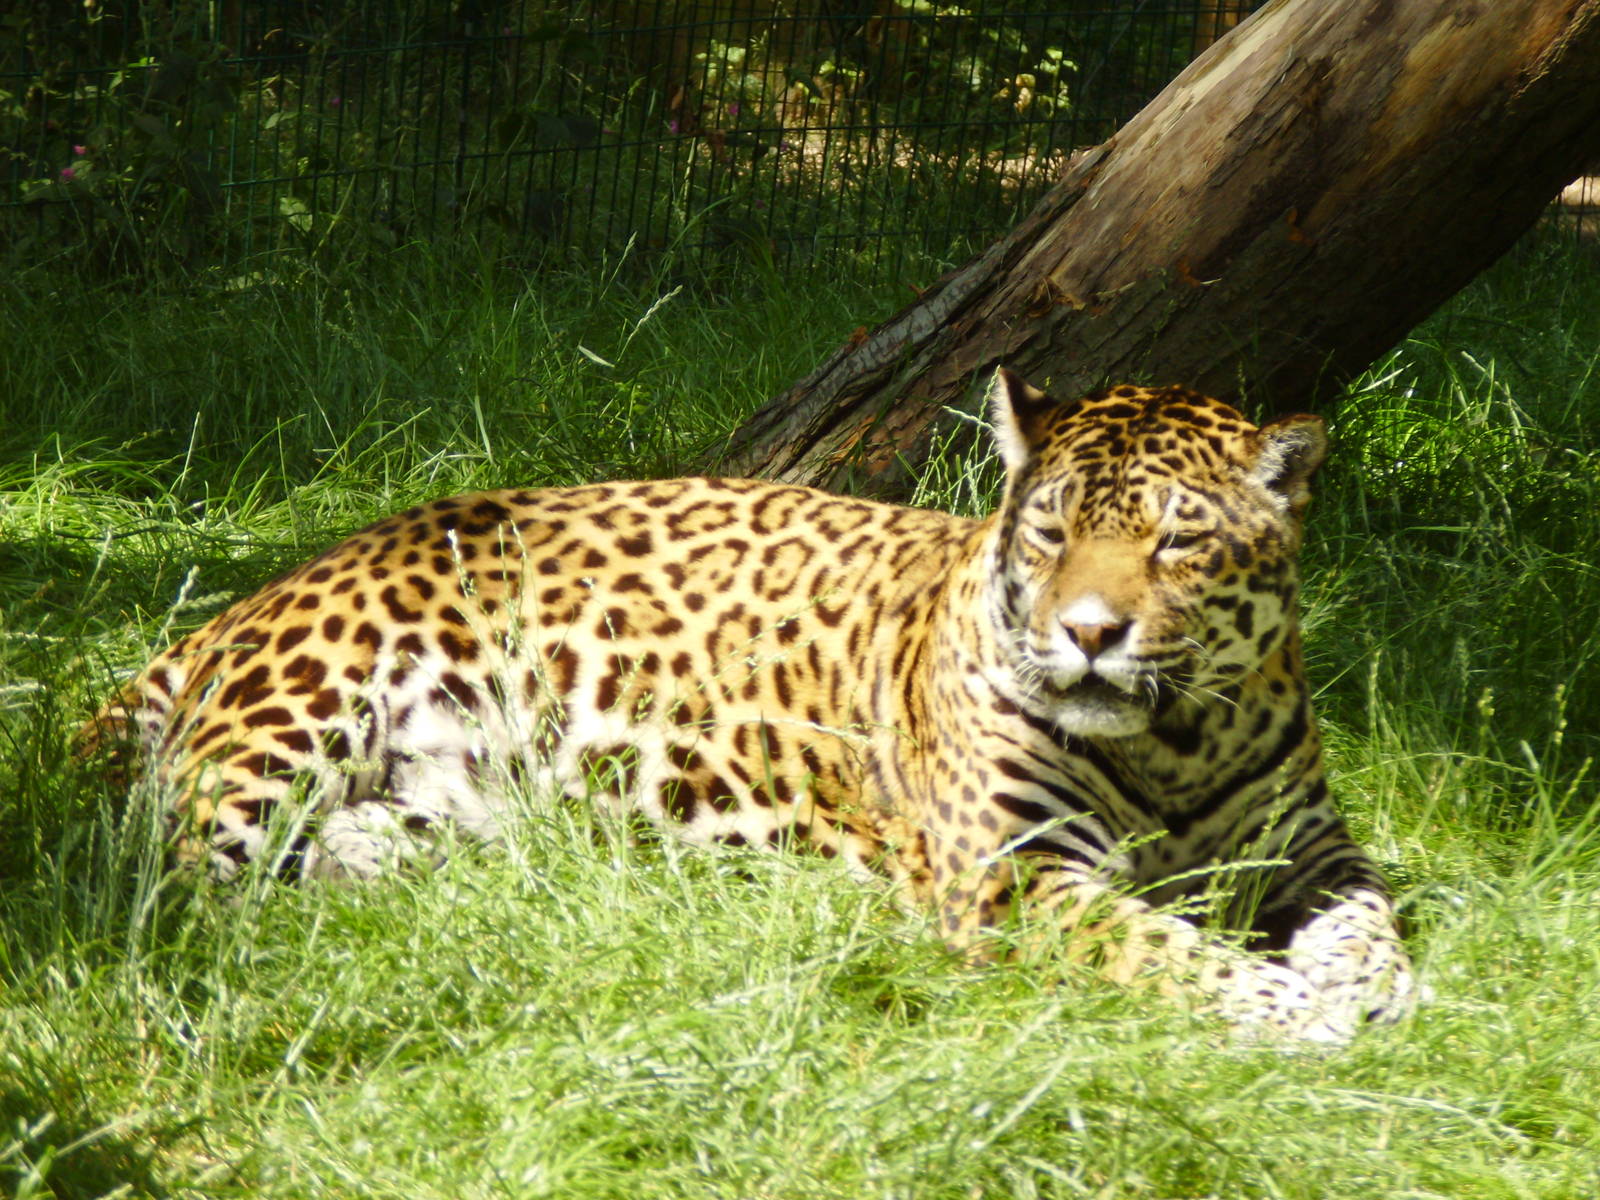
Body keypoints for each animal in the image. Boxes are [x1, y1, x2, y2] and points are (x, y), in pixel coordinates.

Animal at [90, 367, 1415, 1041]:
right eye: (1047, 534)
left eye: (1177, 543)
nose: (1088, 635)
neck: (1173, 741)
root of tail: (267, 587)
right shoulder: (1012, 877)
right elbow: (1161, 946)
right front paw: (1288, 1005)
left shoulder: (1313, 849)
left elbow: (1369, 916)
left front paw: (1374, 983)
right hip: (293, 722)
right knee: (157, 883)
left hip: (430, 810)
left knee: (329, 861)